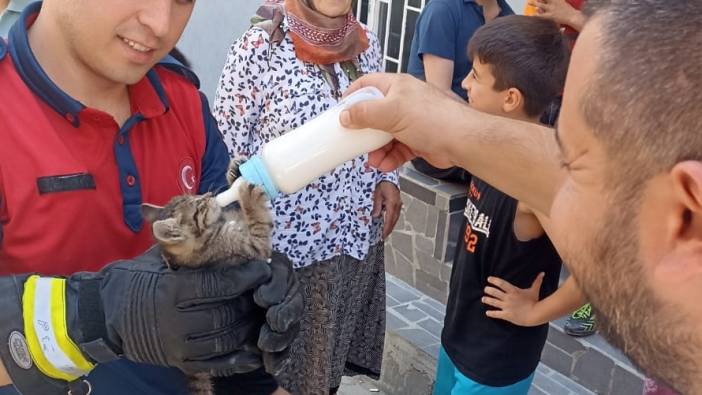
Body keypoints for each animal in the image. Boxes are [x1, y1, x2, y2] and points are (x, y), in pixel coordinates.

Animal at [142, 161, 274, 395]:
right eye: (199, 205)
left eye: (196, 195)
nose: (210, 194)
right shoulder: (253, 248)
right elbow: (258, 222)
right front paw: (247, 195)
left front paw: (235, 173)